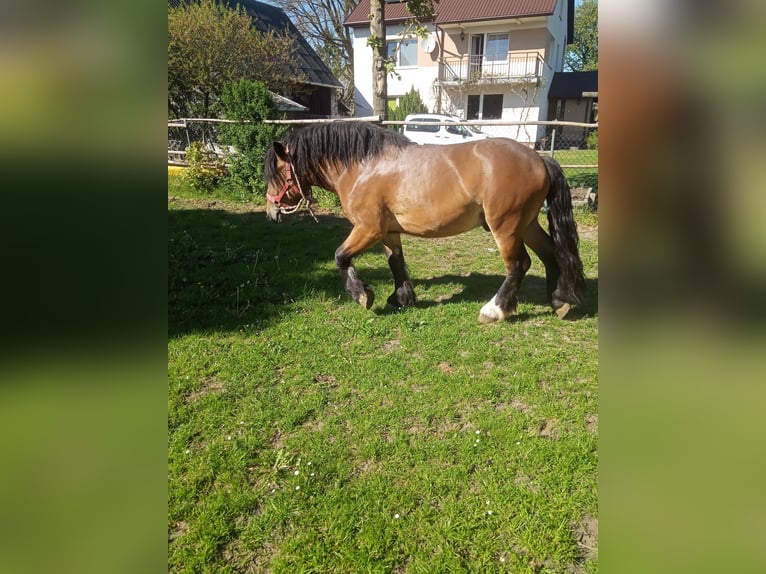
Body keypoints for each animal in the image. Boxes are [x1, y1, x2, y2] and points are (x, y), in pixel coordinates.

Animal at [264, 121, 585, 323]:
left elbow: (340, 256)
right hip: (526, 224)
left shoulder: (368, 229)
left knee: (519, 264)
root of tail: (540, 159)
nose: (272, 212)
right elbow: (395, 262)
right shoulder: (388, 231)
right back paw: (559, 300)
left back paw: (495, 310)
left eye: (277, 173)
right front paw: (401, 298)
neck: (363, 167)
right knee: (551, 253)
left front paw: (363, 295)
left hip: (506, 226)